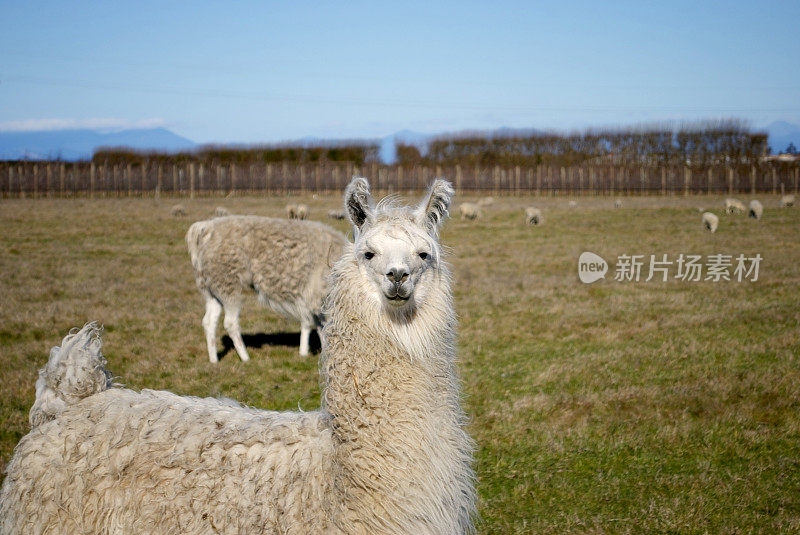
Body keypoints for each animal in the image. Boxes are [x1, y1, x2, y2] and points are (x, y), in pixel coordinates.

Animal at [191, 216, 350, 362]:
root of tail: (206, 228)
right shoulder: (318, 294)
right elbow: (319, 325)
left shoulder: (313, 297)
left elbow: (312, 323)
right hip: (228, 284)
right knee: (230, 323)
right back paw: (245, 357)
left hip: (212, 290)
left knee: (209, 322)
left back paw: (214, 360)